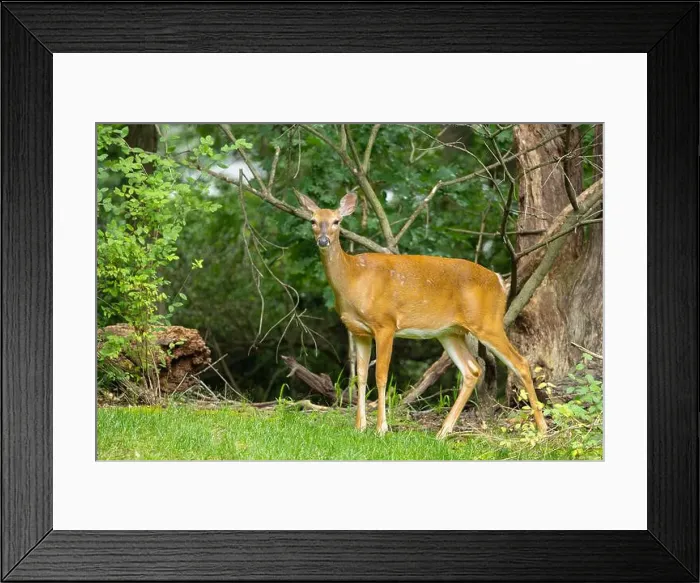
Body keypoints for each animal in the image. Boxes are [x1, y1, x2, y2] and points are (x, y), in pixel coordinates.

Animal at [298, 192, 547, 439]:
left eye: (336, 221)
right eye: (312, 221)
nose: (323, 241)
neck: (353, 279)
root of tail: (499, 280)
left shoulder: (386, 323)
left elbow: (380, 375)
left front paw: (381, 428)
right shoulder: (358, 331)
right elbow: (360, 376)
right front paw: (360, 427)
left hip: (487, 322)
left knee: (521, 362)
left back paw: (542, 428)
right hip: (450, 332)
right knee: (472, 370)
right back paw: (443, 432)